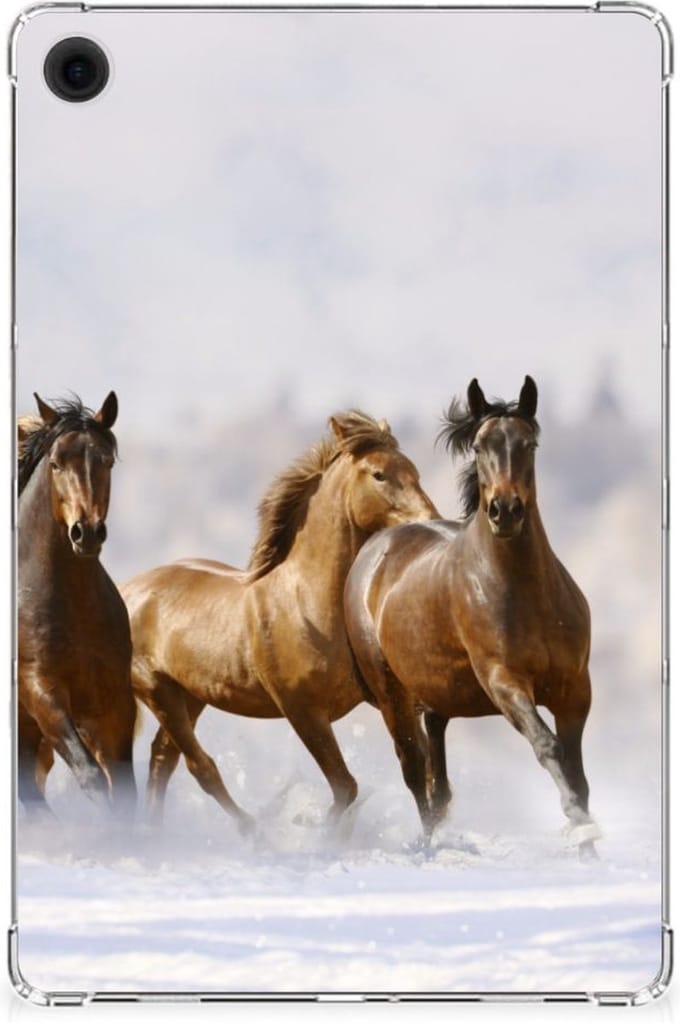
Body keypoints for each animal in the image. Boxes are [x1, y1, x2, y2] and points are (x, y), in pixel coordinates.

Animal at [17, 392, 137, 817]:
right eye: (56, 463)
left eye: (107, 461)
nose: (86, 533)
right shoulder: (40, 692)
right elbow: (91, 776)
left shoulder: (114, 702)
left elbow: (124, 789)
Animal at [121, 411, 438, 833]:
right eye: (379, 474)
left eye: (414, 471)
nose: (431, 521)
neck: (308, 605)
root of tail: (125, 591)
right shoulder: (302, 710)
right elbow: (346, 787)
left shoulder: (388, 697)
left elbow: (416, 767)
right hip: (159, 691)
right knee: (198, 766)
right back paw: (254, 831)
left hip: (190, 695)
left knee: (162, 759)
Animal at [344, 377, 599, 858]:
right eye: (480, 446)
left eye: (529, 443)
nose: (505, 511)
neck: (525, 593)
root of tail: (375, 548)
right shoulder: (504, 681)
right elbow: (548, 747)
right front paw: (580, 828)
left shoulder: (574, 688)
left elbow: (577, 770)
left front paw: (589, 846)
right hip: (392, 696)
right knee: (415, 771)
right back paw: (428, 847)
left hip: (436, 697)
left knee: (437, 780)